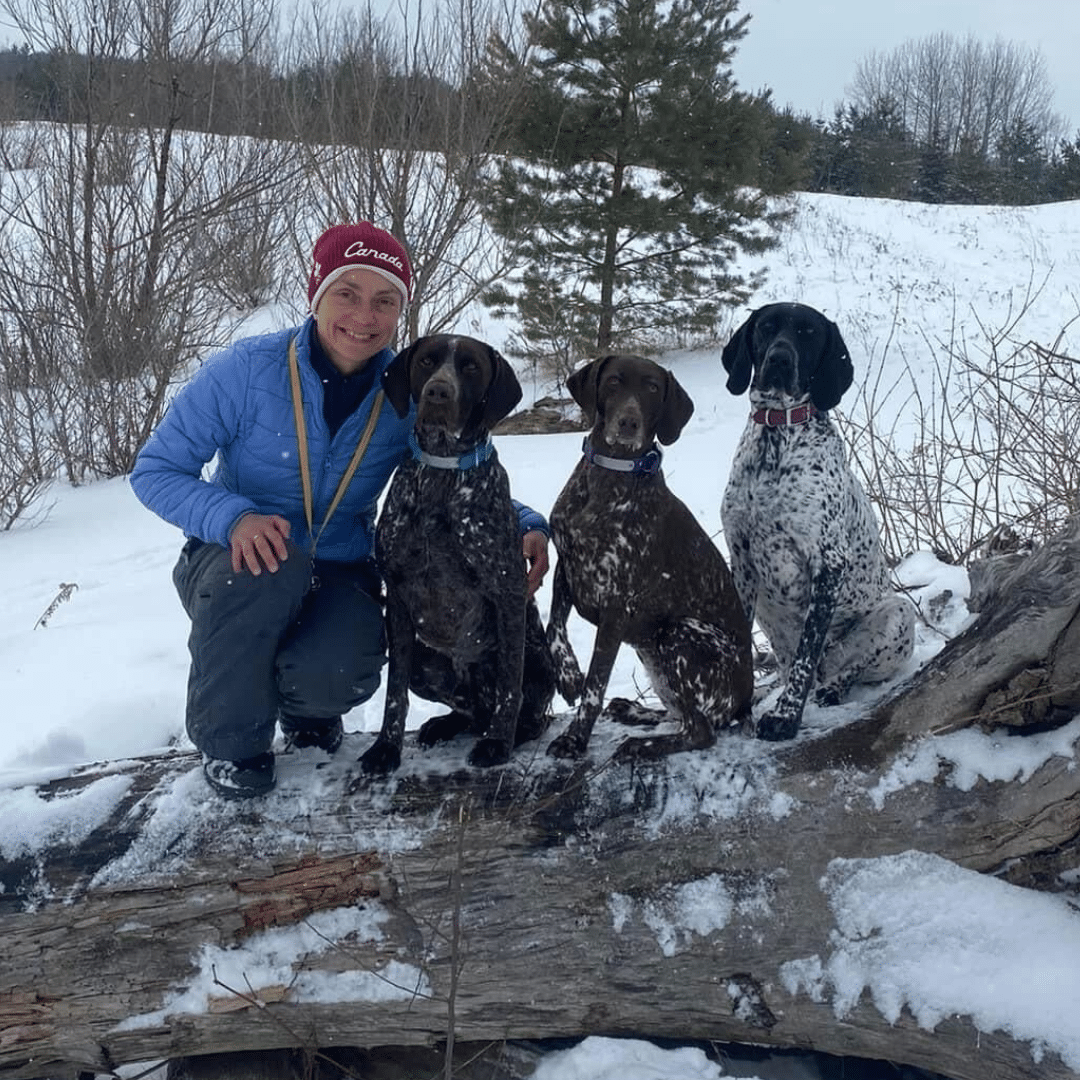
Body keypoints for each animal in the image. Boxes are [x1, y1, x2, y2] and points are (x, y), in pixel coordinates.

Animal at [358, 332, 552, 773]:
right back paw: (445, 724)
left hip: (540, 664)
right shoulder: (397, 597)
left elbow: (509, 687)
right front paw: (386, 747)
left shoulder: (507, 591)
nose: (438, 393)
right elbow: (394, 694)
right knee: (469, 713)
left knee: (526, 711)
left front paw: (498, 744)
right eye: (426, 362)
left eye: (471, 367)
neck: (441, 471)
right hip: (425, 662)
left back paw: (510, 733)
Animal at [544, 354, 756, 760]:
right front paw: (567, 674)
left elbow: (595, 686)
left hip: (679, 632)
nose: (628, 422)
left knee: (700, 731)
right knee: (679, 714)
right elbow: (553, 627)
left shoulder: (615, 605)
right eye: (613, 381)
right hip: (652, 653)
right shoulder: (567, 565)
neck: (610, 478)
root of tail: (746, 703)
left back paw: (640, 744)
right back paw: (634, 711)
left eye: (653, 388)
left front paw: (575, 739)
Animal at [721, 304, 915, 743]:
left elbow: (807, 653)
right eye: (766, 327)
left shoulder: (827, 562)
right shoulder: (740, 560)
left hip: (898, 613)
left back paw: (830, 687)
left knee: (845, 669)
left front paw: (785, 717)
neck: (775, 441)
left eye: (809, 333)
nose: (779, 359)